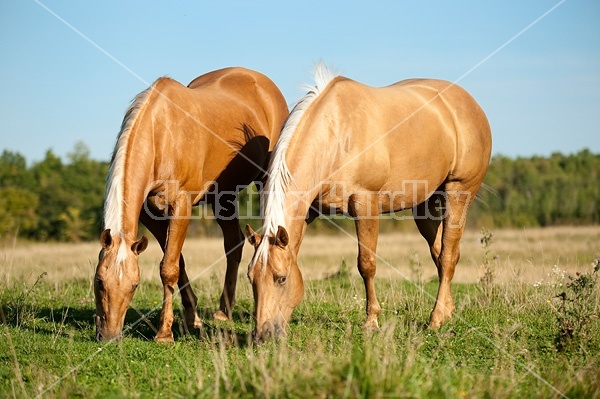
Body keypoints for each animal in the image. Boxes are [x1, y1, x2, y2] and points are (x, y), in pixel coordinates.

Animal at [94, 69, 288, 344]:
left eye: (134, 285)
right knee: (233, 244)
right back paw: (223, 311)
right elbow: (177, 262)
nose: (109, 336)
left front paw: (165, 333)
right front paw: (191, 317)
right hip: (222, 198)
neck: (161, 133)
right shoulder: (152, 215)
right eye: (99, 281)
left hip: (265, 181)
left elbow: (169, 268)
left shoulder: (181, 206)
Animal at [246, 64, 490, 342]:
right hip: (425, 207)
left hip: (459, 193)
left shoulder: (365, 205)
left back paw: (436, 319)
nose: (262, 335)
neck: (337, 135)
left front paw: (371, 321)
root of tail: (470, 104)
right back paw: (447, 310)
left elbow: (367, 264)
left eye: (281, 279)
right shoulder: (309, 212)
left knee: (449, 256)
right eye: (251, 278)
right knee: (439, 253)